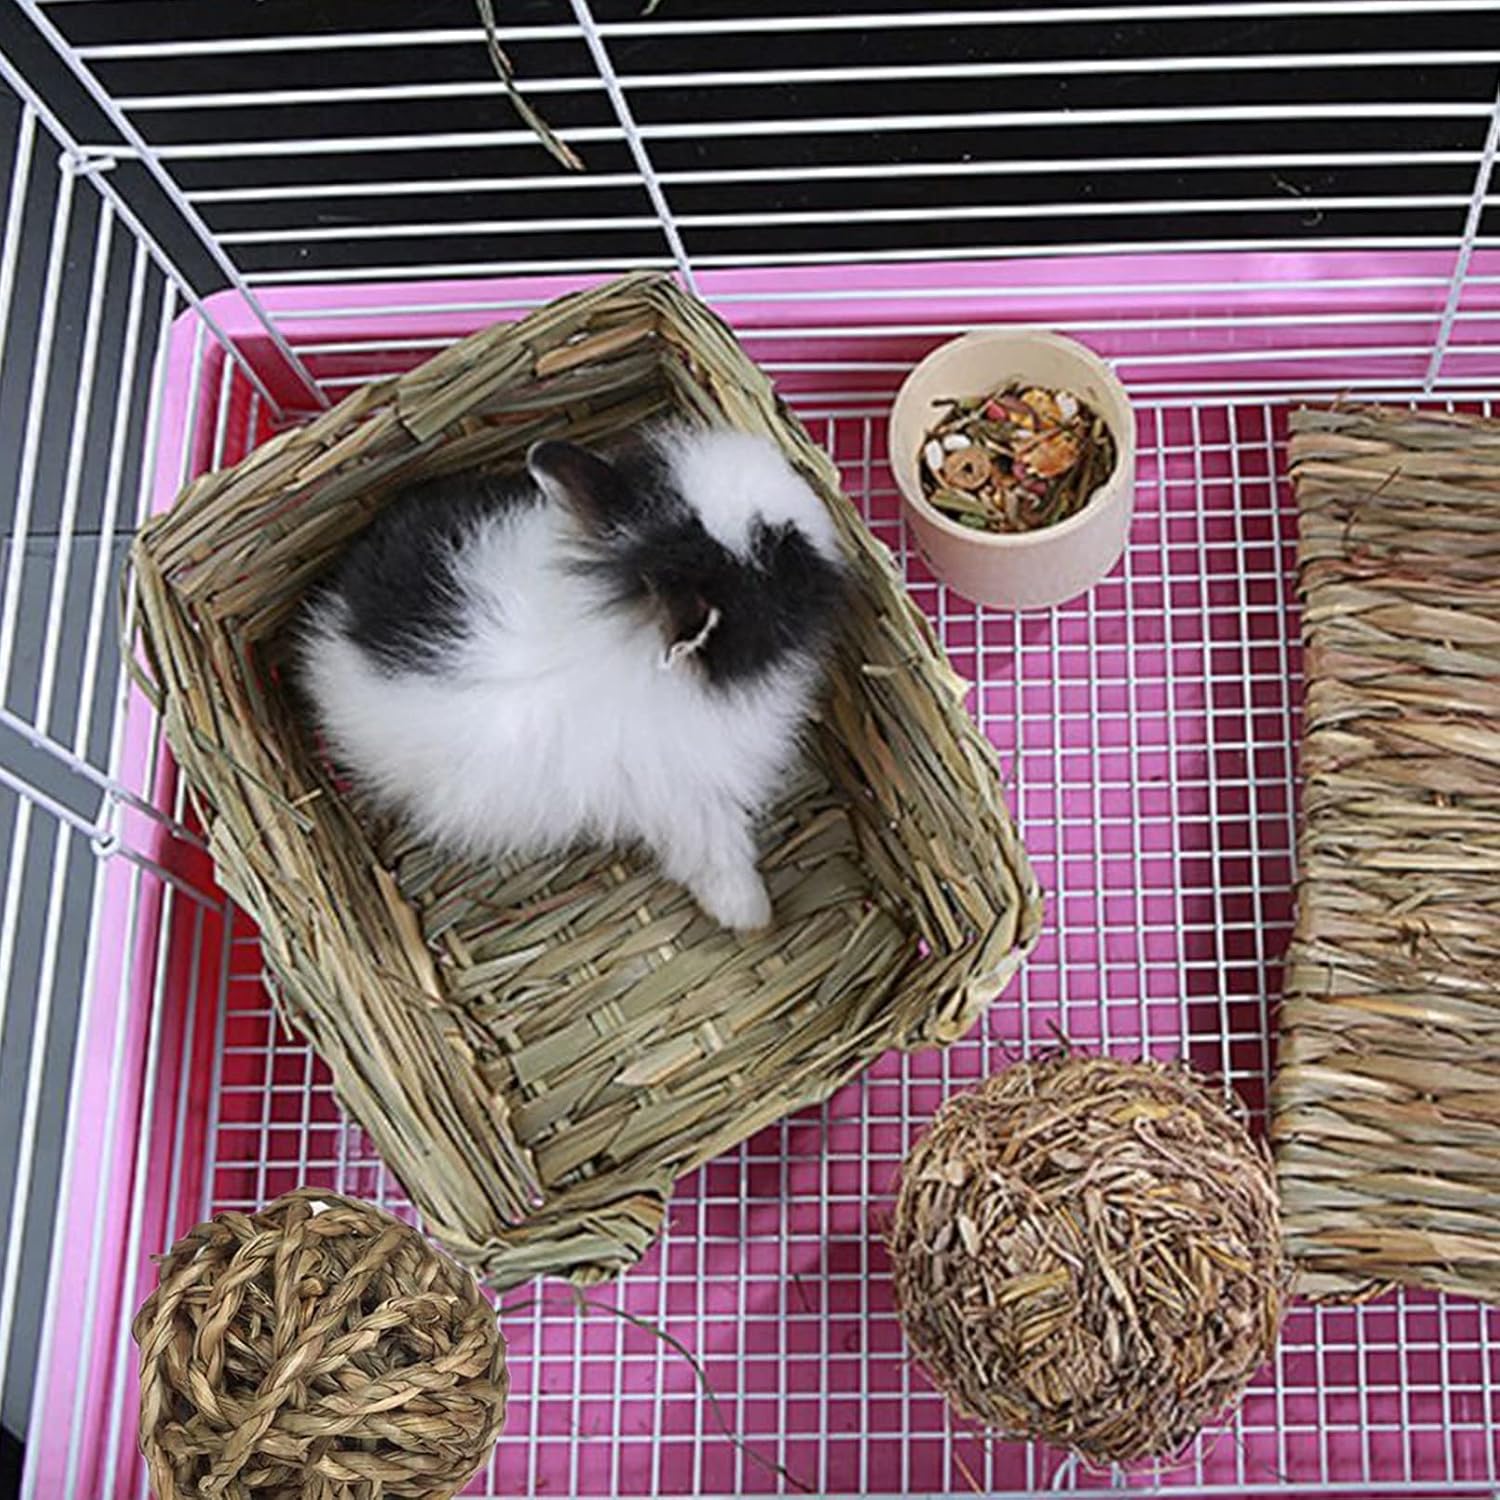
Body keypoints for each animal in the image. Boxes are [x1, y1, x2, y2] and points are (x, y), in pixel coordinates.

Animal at [297, 424, 846, 932]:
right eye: (779, 553)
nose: (811, 498)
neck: (623, 625)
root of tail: (331, 622)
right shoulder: (687, 798)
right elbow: (716, 857)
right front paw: (752, 915)